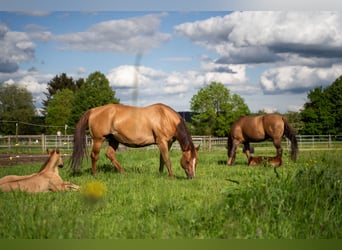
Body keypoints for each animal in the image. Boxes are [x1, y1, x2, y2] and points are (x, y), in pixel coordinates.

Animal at [71, 102, 199, 179]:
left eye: (196, 161)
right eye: (187, 161)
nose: (192, 177)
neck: (166, 117)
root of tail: (93, 110)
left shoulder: (168, 143)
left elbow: (162, 159)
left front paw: (161, 173)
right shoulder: (162, 142)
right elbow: (167, 159)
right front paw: (171, 176)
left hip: (114, 140)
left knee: (110, 154)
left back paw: (123, 172)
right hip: (98, 139)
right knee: (94, 156)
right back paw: (95, 174)